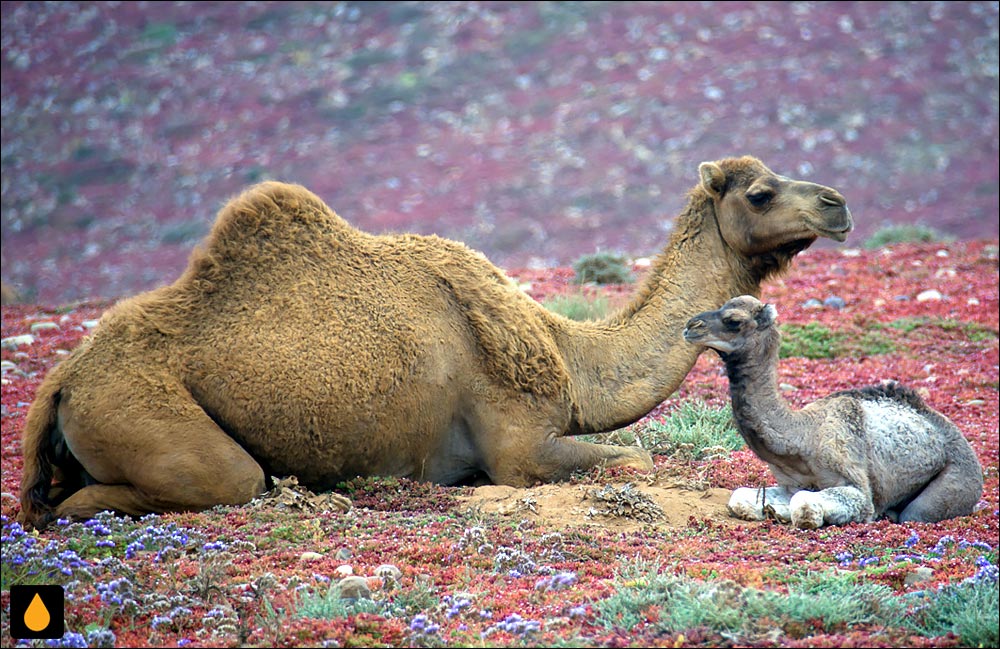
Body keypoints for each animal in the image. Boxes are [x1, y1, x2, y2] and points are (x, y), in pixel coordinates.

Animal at [684, 296, 980, 528]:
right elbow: (742, 497)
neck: (802, 438)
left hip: (955, 483)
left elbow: (806, 505)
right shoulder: (792, 483)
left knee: (916, 513)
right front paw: (773, 510)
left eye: (733, 320)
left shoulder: (857, 486)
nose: (690, 326)